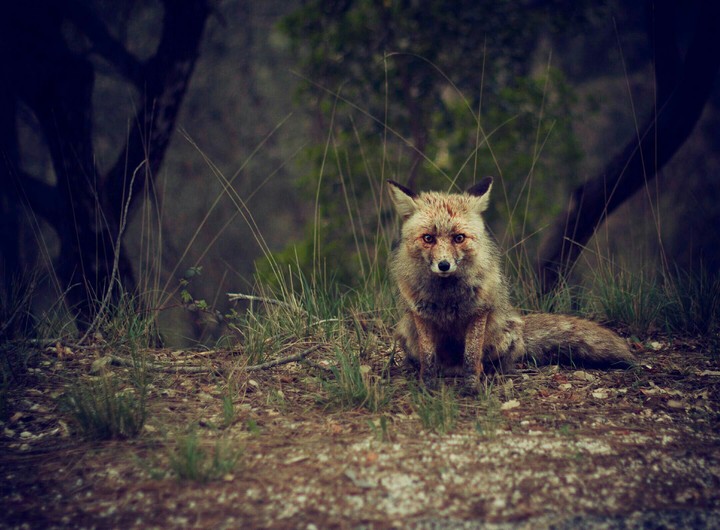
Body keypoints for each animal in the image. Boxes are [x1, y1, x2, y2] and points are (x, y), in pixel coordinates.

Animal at [387, 177, 636, 385]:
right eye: (428, 238)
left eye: (459, 238)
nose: (444, 265)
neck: (446, 297)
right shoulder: (420, 313)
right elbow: (428, 357)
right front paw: (427, 384)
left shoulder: (480, 311)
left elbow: (472, 355)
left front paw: (471, 385)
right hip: (406, 332)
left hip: (503, 338)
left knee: (500, 362)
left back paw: (491, 372)